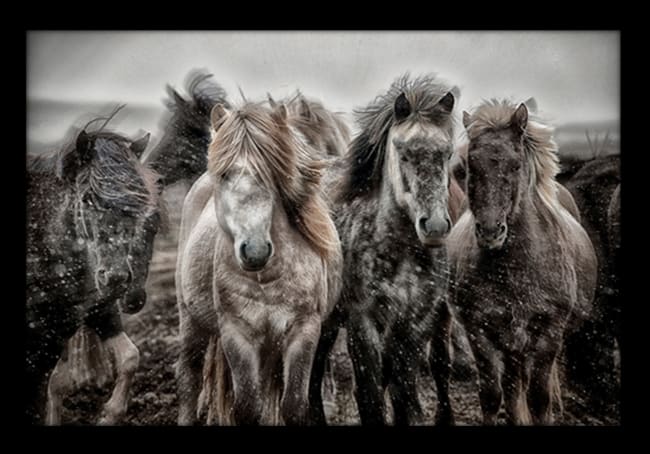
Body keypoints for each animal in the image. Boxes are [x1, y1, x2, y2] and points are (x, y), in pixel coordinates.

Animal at [308, 74, 460, 426]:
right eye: (403, 154)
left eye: (447, 154)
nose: (434, 226)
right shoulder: (363, 322)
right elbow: (370, 397)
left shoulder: (416, 323)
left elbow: (405, 395)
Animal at [446, 101, 596, 424]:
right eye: (470, 167)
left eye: (516, 165)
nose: (490, 232)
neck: (515, 269)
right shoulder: (481, 332)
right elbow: (492, 397)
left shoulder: (548, 333)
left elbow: (539, 399)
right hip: (511, 346)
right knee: (513, 389)